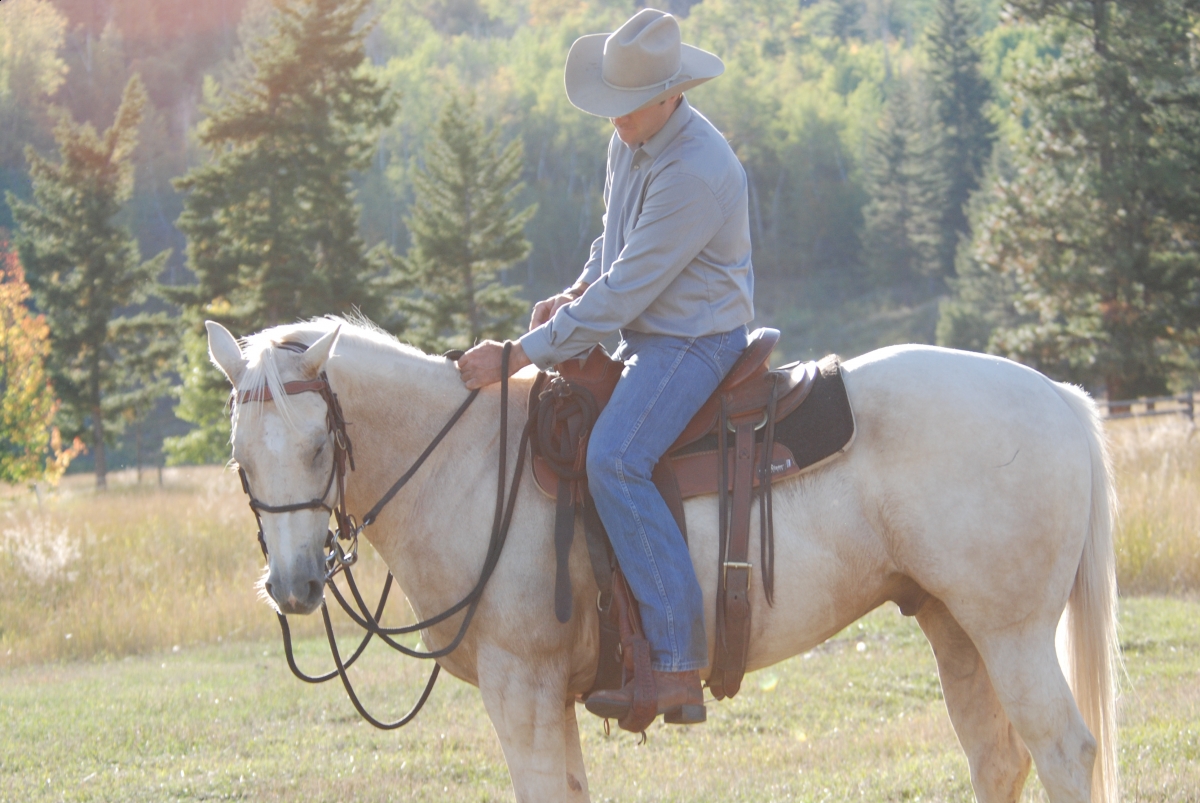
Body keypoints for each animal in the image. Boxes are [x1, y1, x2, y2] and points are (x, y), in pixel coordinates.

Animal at [205, 316, 1119, 803]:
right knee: (998, 755)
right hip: (953, 626)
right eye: (239, 456)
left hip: (1013, 633)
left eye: (319, 445)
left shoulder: (522, 685)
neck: (468, 465)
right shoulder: (551, 697)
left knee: (1064, 750)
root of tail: (1061, 397)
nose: (294, 585)